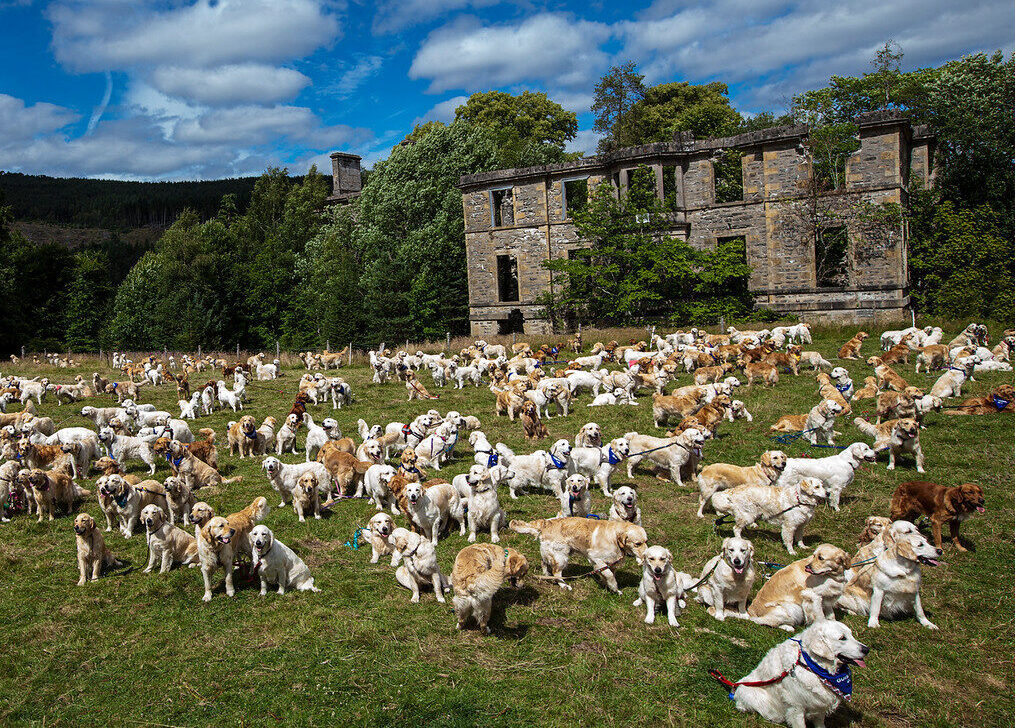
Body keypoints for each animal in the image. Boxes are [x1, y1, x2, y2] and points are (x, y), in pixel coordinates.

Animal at [511, 513, 645, 592]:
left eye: (646, 541)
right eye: (637, 544)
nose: (645, 556)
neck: (614, 537)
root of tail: (546, 522)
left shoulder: (610, 562)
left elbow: (607, 573)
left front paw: (606, 584)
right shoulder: (595, 557)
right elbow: (609, 575)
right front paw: (615, 588)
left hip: (552, 553)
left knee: (544, 563)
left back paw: (546, 575)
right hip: (561, 555)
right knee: (556, 572)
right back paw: (564, 585)